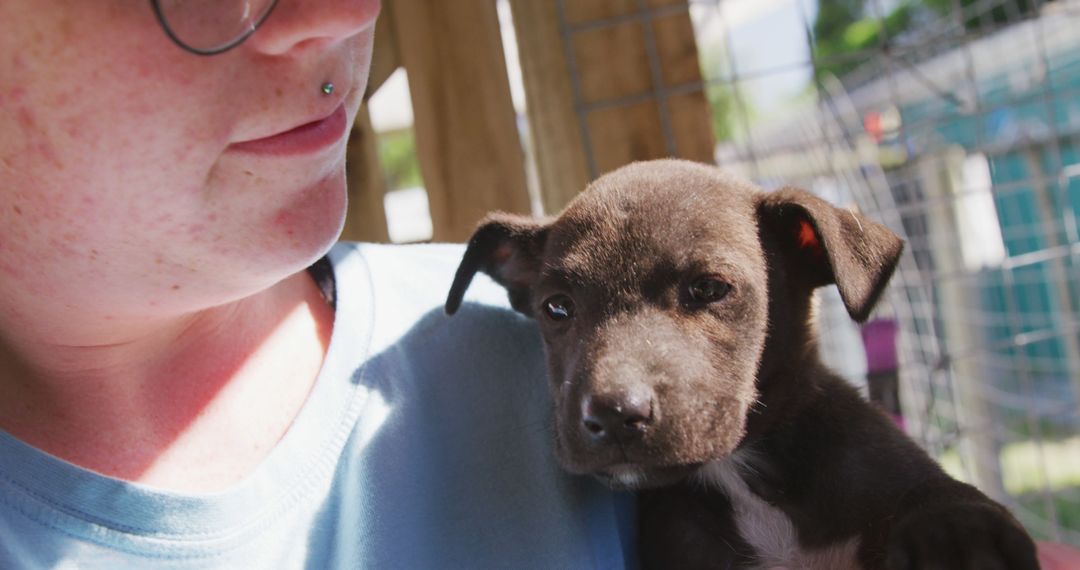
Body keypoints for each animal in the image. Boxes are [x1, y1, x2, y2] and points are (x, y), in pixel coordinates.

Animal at [440, 158, 1036, 570]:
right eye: (556, 308)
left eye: (709, 289)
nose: (611, 415)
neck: (740, 472)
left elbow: (943, 500)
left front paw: (959, 541)